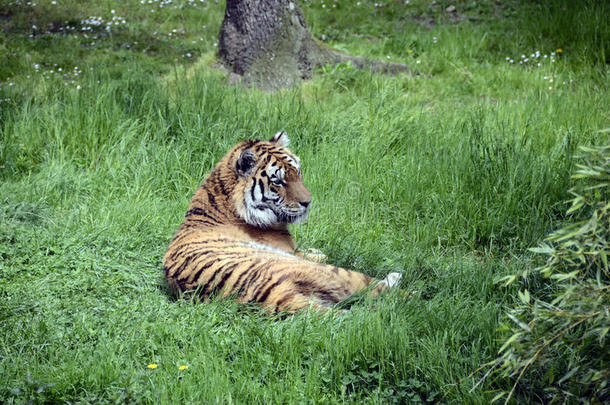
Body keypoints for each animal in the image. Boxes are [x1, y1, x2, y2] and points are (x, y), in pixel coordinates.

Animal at [162, 132, 402, 312]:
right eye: (278, 181)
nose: (308, 202)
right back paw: (399, 280)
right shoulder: (294, 253)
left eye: (298, 172)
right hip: (320, 271)